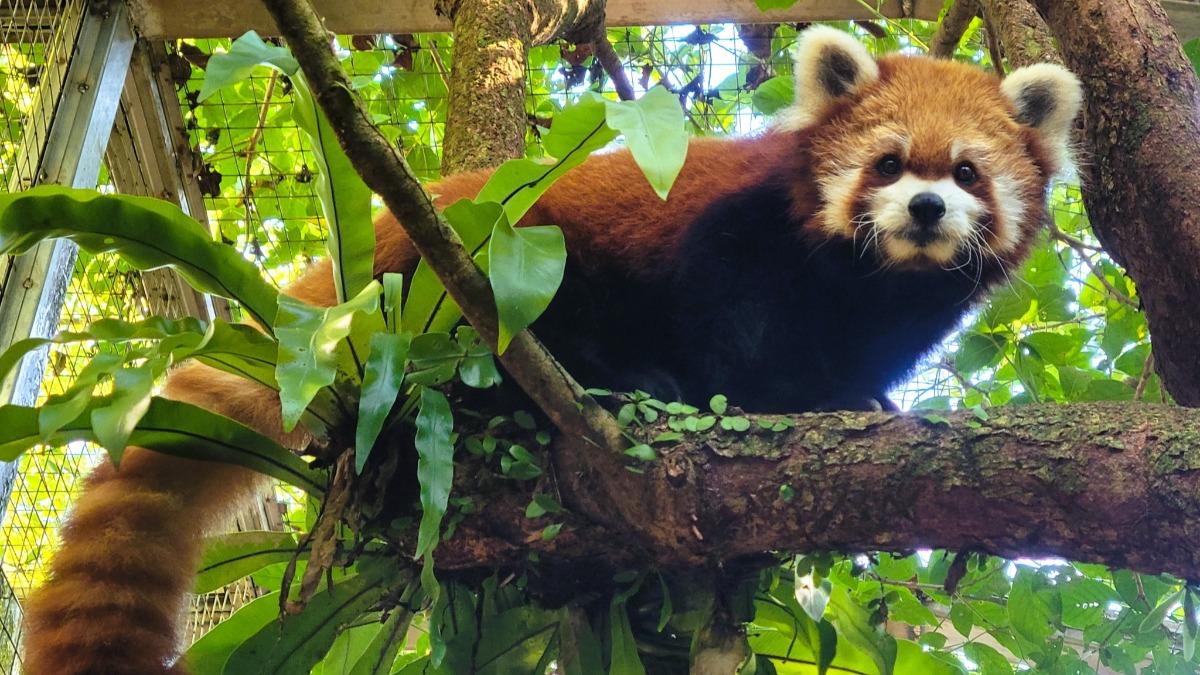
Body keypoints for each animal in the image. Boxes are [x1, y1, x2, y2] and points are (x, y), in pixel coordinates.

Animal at [23, 24, 1084, 667]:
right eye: (892, 162)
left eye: (966, 173)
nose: (926, 209)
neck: (869, 280)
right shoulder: (733, 235)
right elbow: (725, 323)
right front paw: (748, 399)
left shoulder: (892, 315)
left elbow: (854, 363)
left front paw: (859, 401)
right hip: (470, 283)